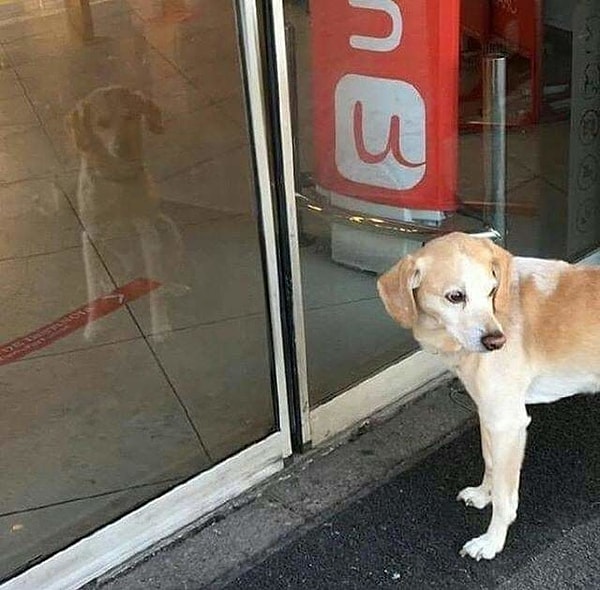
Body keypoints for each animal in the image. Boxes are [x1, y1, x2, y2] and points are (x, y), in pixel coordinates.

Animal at [378, 234, 600, 560]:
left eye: (491, 291)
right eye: (455, 296)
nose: (497, 341)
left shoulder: (509, 424)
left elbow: (506, 500)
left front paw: (492, 541)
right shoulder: (489, 414)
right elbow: (490, 461)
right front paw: (484, 494)